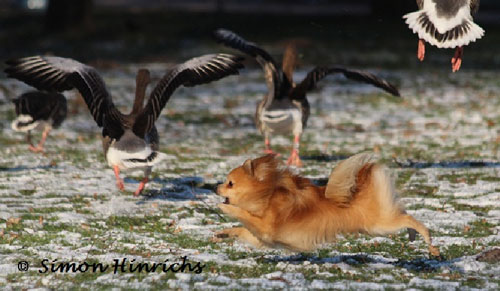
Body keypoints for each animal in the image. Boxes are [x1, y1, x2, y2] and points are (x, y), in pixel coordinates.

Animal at [217, 154, 440, 256]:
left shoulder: (266, 228)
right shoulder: (263, 238)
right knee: (404, 213)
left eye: (230, 183)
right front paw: (222, 233)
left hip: (380, 225)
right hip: (380, 223)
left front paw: (225, 208)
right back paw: (413, 236)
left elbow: (242, 214)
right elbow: (241, 229)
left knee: (409, 218)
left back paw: (430, 243)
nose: (215, 187)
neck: (267, 194)